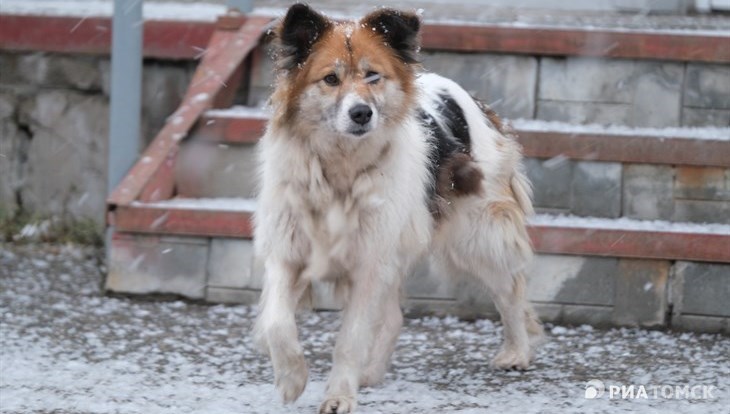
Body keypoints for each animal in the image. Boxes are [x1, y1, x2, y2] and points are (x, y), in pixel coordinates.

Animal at [253, 4, 544, 414]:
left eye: (373, 76)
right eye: (330, 79)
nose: (361, 113)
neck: (341, 169)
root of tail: (470, 98)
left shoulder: (369, 262)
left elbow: (350, 338)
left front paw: (339, 396)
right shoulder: (287, 250)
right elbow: (277, 322)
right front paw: (292, 378)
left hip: (476, 234)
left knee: (510, 289)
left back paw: (517, 352)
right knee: (393, 318)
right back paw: (370, 373)